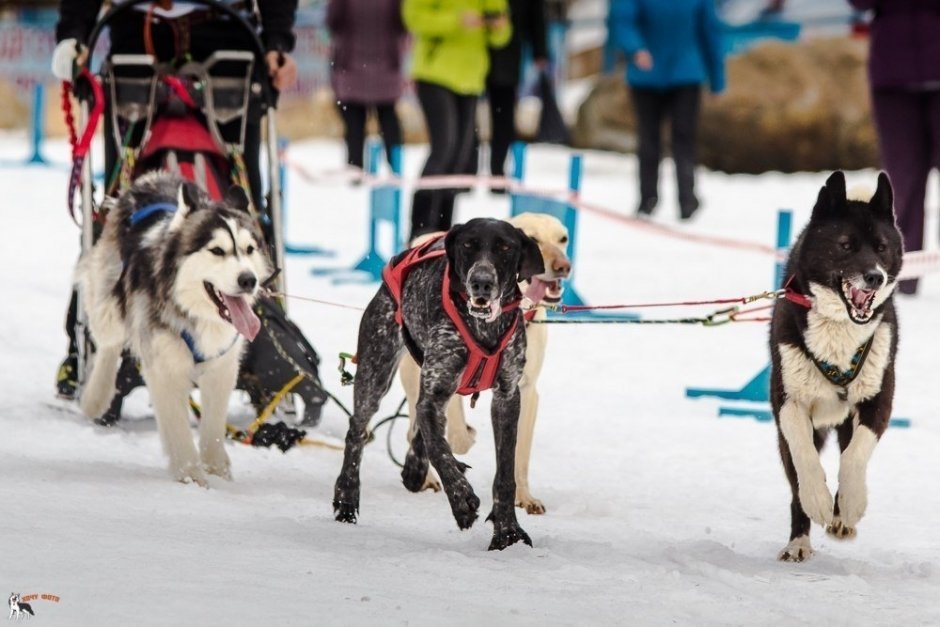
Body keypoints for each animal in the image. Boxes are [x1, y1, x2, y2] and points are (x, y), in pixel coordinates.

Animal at [75, 172, 270, 486]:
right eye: (217, 251)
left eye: (249, 249)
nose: (248, 280)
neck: (195, 314)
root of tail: (155, 178)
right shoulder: (165, 369)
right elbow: (178, 429)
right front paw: (191, 475)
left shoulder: (222, 367)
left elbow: (214, 427)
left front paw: (217, 470)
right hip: (108, 305)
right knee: (108, 343)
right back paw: (96, 396)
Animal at [334, 218, 544, 552]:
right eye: (468, 245)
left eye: (505, 247)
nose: (481, 282)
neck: (483, 327)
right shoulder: (435, 391)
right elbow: (438, 448)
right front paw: (461, 500)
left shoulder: (507, 396)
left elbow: (505, 473)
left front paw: (508, 533)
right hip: (375, 370)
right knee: (357, 431)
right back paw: (346, 499)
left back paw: (413, 469)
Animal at [772, 169, 904, 560]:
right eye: (846, 245)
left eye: (881, 247)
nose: (875, 277)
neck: (839, 329)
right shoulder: (788, 401)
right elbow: (804, 455)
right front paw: (817, 498)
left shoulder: (879, 398)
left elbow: (855, 455)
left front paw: (850, 504)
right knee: (795, 480)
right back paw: (798, 542)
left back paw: (840, 517)